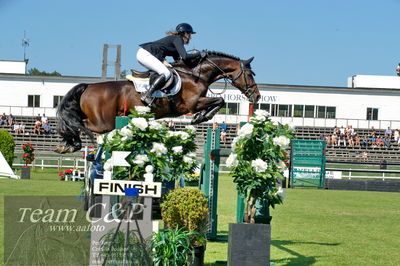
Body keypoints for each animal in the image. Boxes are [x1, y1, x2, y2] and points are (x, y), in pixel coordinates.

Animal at [54, 50, 260, 153]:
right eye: (250, 74)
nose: (257, 96)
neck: (195, 74)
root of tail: (88, 86)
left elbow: (219, 100)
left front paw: (202, 117)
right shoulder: (191, 104)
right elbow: (220, 99)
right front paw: (200, 117)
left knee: (73, 123)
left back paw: (67, 144)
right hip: (103, 122)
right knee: (78, 124)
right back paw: (72, 143)